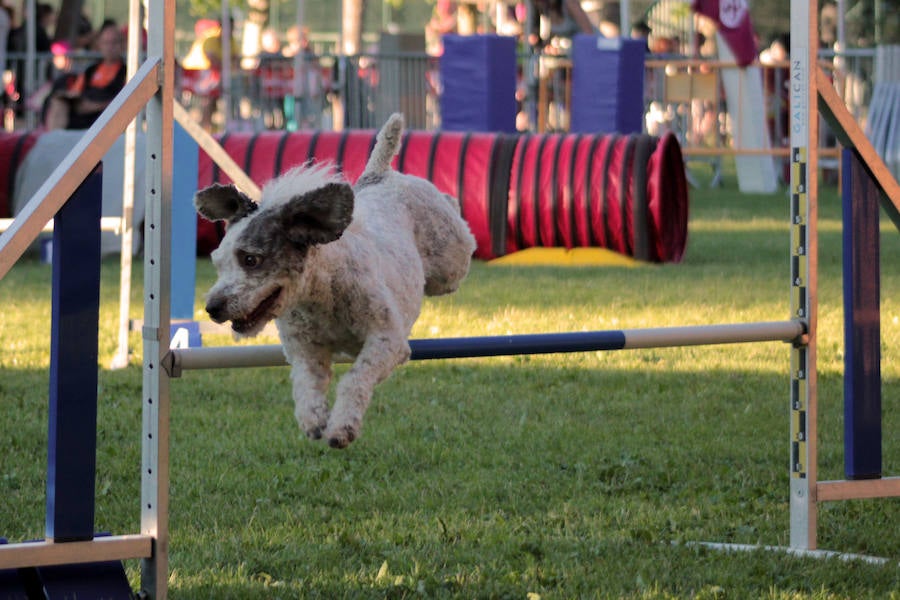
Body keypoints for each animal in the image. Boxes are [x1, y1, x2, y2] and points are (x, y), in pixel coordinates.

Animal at [195, 115, 478, 448]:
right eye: (218, 263)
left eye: (251, 259)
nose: (213, 308)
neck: (321, 295)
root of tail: (379, 174)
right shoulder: (304, 349)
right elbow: (306, 383)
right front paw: (313, 421)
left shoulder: (387, 342)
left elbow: (354, 379)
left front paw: (342, 427)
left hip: (449, 266)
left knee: (454, 217)